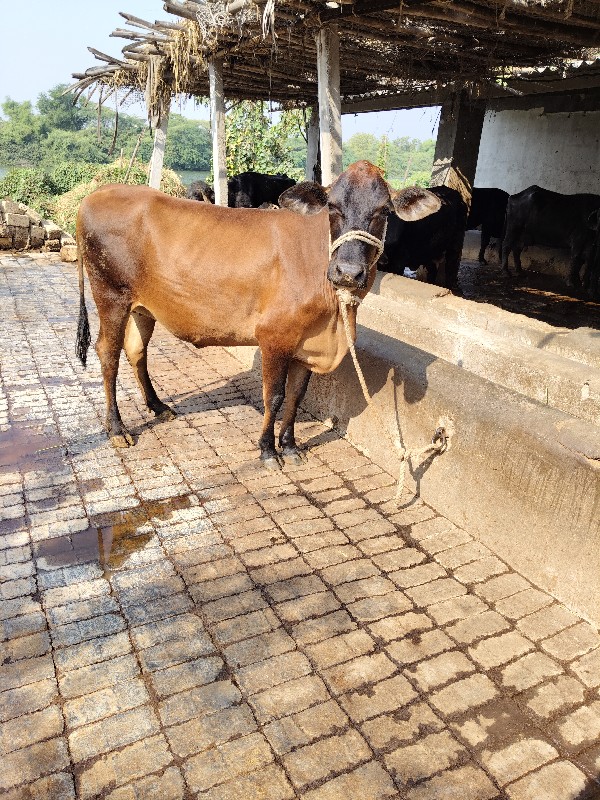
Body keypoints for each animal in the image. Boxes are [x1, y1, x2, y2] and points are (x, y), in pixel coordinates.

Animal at [76, 162, 440, 468]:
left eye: (383, 211)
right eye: (333, 207)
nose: (348, 273)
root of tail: (96, 194)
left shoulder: (306, 343)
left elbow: (296, 396)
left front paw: (290, 446)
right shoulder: (274, 337)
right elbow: (274, 396)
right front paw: (267, 450)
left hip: (143, 306)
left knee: (136, 350)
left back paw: (158, 407)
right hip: (111, 295)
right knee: (108, 353)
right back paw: (117, 429)